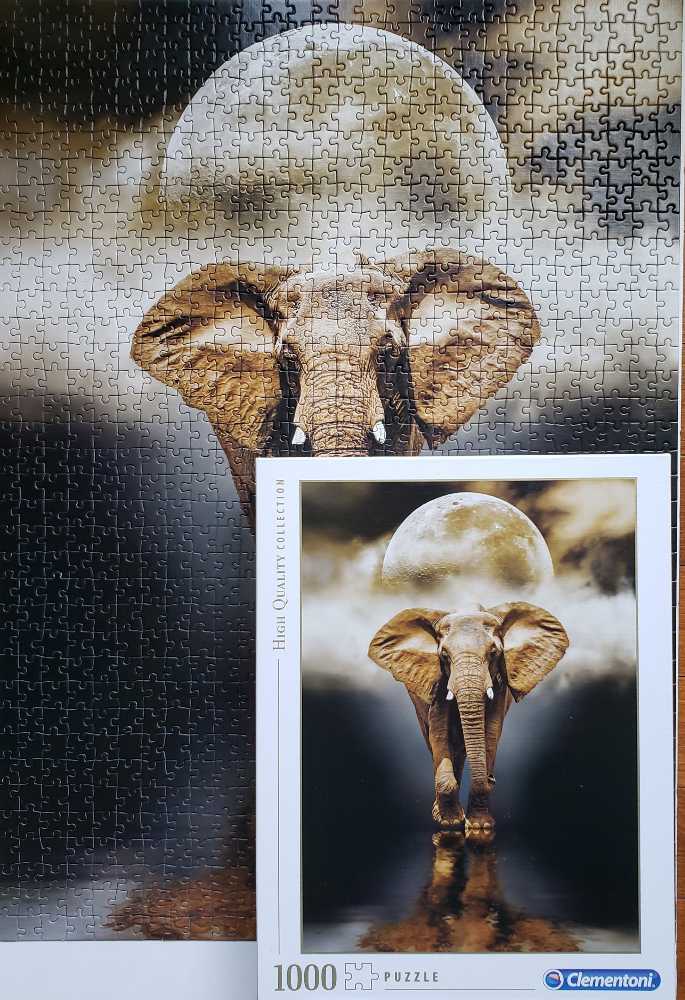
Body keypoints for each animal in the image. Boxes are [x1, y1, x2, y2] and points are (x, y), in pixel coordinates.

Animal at [368, 603, 569, 835]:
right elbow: (439, 732)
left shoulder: (499, 684)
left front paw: (480, 827)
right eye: (444, 655)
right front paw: (449, 824)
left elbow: (491, 731)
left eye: (493, 653)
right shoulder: (438, 679)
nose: (492, 779)